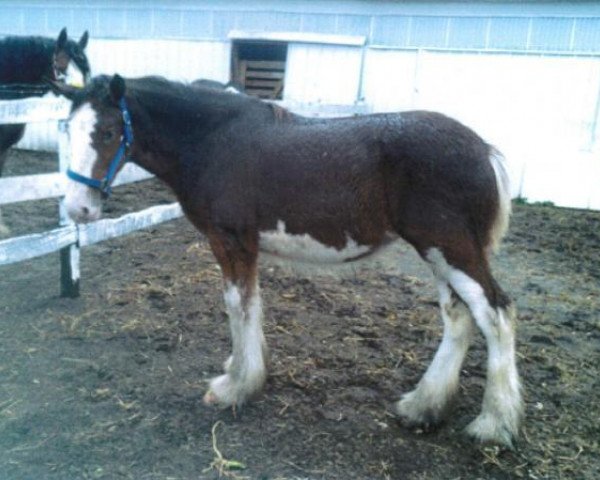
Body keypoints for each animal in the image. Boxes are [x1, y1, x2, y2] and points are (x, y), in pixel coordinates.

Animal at [51, 74, 524, 446]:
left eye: (108, 132)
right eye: (67, 130)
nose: (78, 209)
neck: (213, 141)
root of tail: (484, 151)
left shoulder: (231, 242)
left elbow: (238, 306)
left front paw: (236, 387)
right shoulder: (247, 248)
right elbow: (252, 306)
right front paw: (244, 370)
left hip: (451, 248)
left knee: (496, 314)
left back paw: (493, 424)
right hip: (439, 254)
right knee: (458, 317)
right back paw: (423, 407)